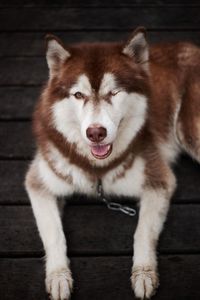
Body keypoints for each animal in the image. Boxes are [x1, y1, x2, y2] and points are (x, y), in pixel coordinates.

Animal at [25, 27, 200, 298]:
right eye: (78, 94)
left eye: (114, 93)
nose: (96, 133)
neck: (97, 168)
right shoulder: (38, 182)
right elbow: (54, 234)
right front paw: (58, 276)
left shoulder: (159, 180)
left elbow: (142, 232)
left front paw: (143, 273)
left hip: (189, 131)